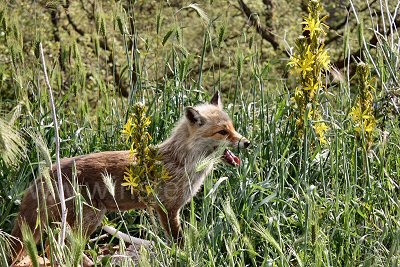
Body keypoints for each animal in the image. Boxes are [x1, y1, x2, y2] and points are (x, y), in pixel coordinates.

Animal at [10, 92, 250, 266]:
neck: (181, 160)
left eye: (233, 128)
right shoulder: (167, 209)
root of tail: (46, 173)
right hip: (88, 219)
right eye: (222, 132)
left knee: (54, 248)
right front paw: (187, 258)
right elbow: (180, 243)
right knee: (58, 249)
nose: (247, 142)